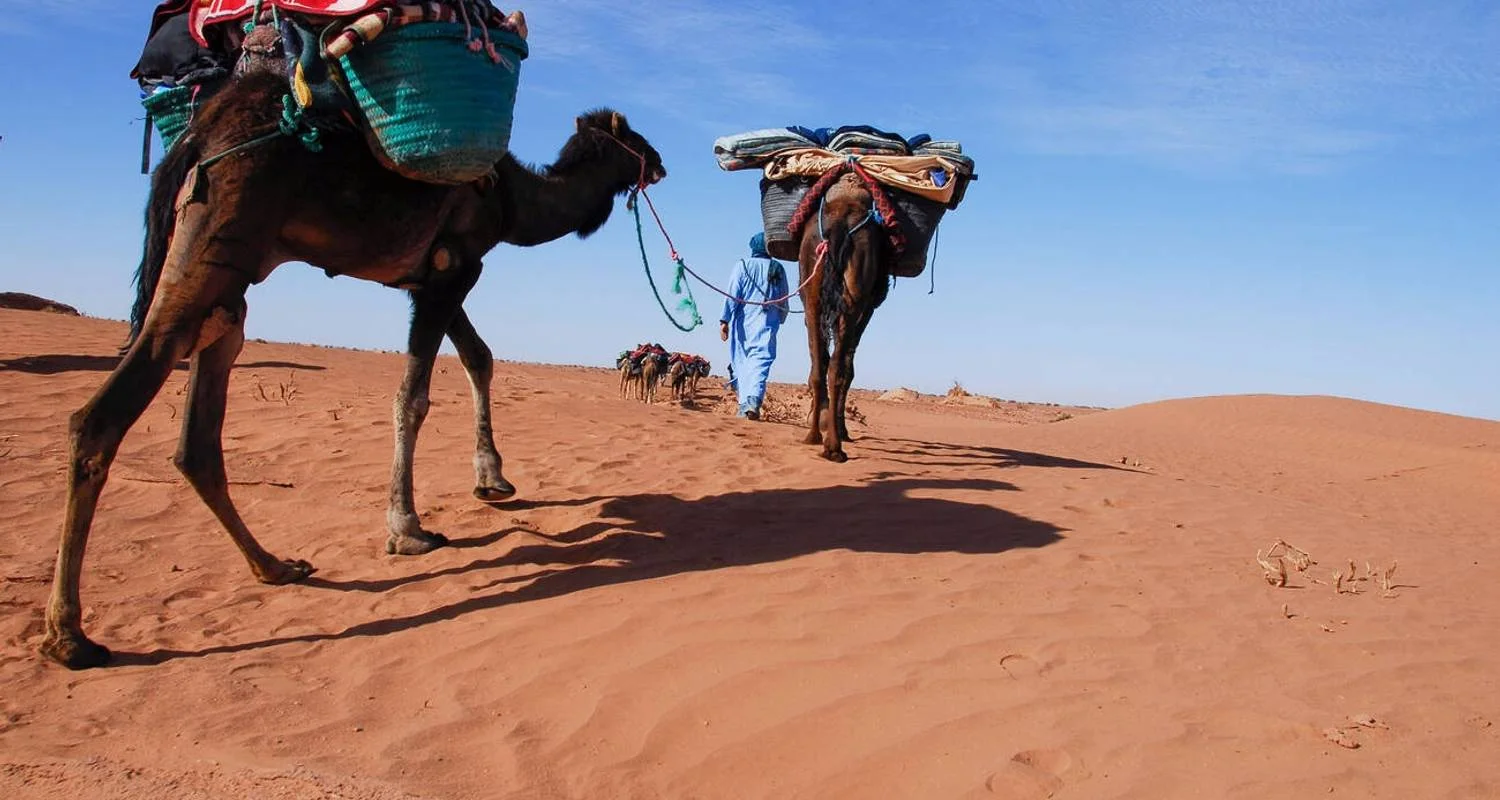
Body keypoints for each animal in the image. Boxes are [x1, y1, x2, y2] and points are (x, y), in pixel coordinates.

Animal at [40, 47, 664, 669]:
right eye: (634, 137)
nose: (661, 164)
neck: (510, 200)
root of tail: (197, 136)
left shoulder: (431, 277)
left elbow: (480, 357)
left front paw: (492, 480)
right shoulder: (454, 267)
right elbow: (414, 397)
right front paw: (408, 529)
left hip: (227, 280)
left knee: (198, 430)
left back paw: (275, 566)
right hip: (216, 232)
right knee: (100, 418)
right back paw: (69, 636)